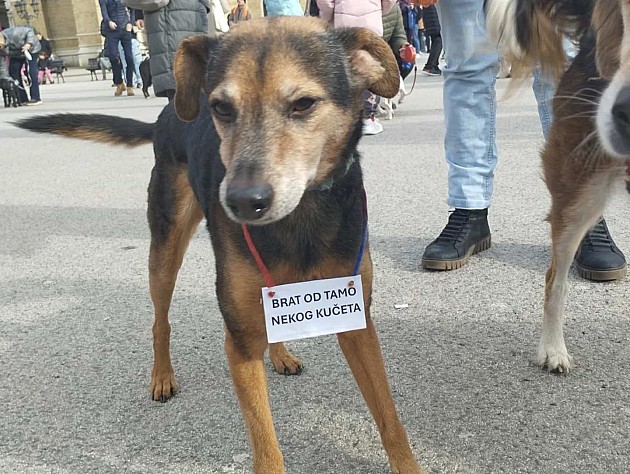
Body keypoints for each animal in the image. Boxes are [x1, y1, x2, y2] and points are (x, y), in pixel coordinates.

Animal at [16, 17, 424, 474]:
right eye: (222, 109)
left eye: (303, 104)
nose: (243, 202)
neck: (298, 220)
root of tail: (167, 113)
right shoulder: (240, 342)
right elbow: (266, 448)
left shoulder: (354, 317)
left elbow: (390, 420)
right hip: (166, 250)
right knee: (160, 321)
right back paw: (162, 376)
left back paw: (279, 354)